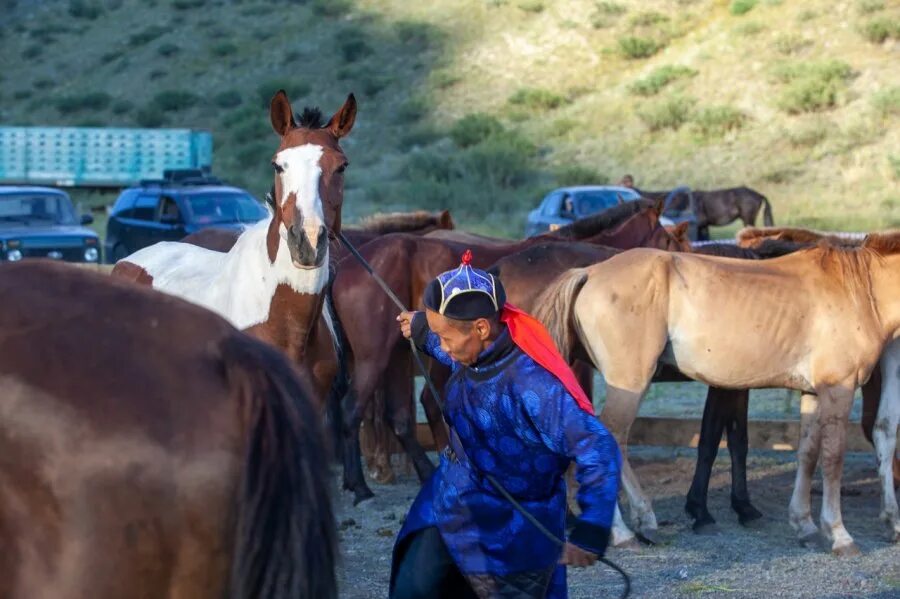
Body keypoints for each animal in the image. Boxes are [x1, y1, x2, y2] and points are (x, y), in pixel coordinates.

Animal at [536, 236, 900, 556]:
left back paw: (642, 521)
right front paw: (839, 535)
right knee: (609, 439)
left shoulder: (811, 392)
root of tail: (590, 272)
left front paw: (805, 525)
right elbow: (833, 458)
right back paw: (623, 532)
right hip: (630, 382)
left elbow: (808, 454)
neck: (859, 291)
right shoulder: (839, 390)